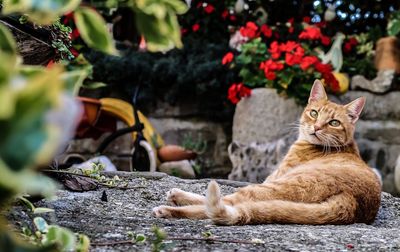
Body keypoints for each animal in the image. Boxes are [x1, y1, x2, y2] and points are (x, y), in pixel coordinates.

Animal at [152, 80, 382, 224]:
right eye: (314, 113)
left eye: (334, 122)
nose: (316, 128)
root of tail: (351, 202)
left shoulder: (271, 178)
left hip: (271, 186)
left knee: (223, 204)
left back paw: (168, 210)